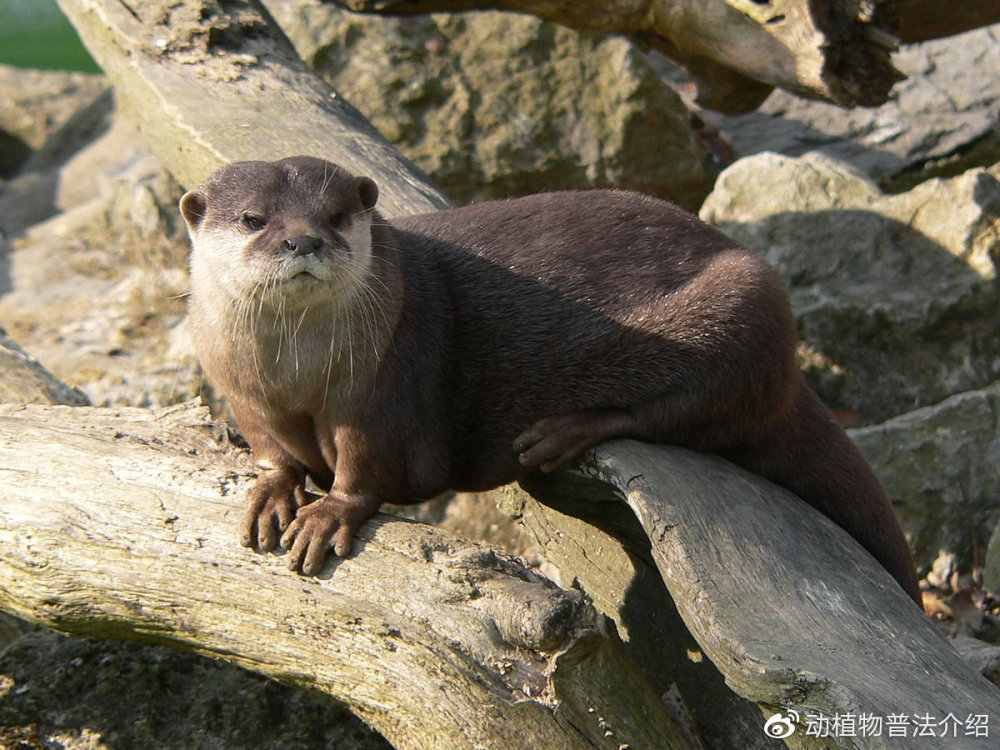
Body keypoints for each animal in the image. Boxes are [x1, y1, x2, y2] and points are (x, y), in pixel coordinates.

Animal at [180, 156, 920, 608]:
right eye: (253, 219)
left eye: (336, 215)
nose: (303, 240)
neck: (297, 374)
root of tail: (793, 376)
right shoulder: (243, 392)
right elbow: (271, 449)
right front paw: (273, 489)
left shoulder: (381, 389)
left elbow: (368, 469)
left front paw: (329, 511)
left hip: (744, 306)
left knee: (687, 409)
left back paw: (558, 433)